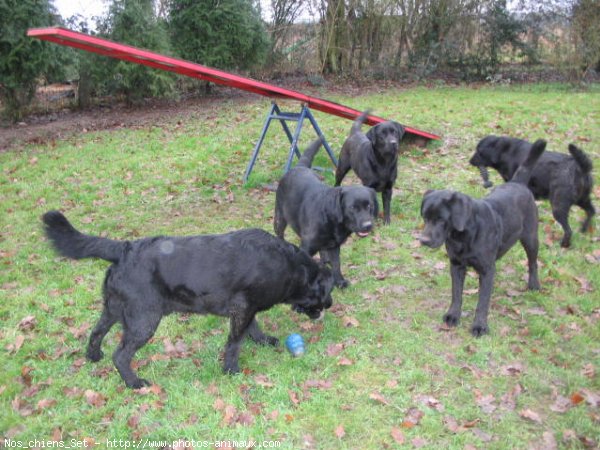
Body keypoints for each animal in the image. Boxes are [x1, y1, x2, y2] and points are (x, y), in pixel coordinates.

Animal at [41, 213, 336, 388]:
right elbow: (234, 342)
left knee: (96, 332)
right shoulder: (243, 308)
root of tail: (124, 249)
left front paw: (264, 341)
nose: (331, 305)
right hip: (144, 320)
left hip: (113, 308)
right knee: (121, 355)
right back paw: (134, 383)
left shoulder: (245, 308)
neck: (290, 267)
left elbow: (252, 329)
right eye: (326, 292)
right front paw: (231, 370)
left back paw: (93, 357)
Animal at [420, 139, 548, 336]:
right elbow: (456, 294)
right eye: (425, 217)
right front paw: (453, 315)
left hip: (530, 237)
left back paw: (534, 284)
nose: (424, 241)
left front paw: (479, 326)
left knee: (533, 262)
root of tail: (517, 183)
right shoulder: (456, 265)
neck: (463, 237)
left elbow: (483, 301)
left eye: (441, 219)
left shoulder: (487, 270)